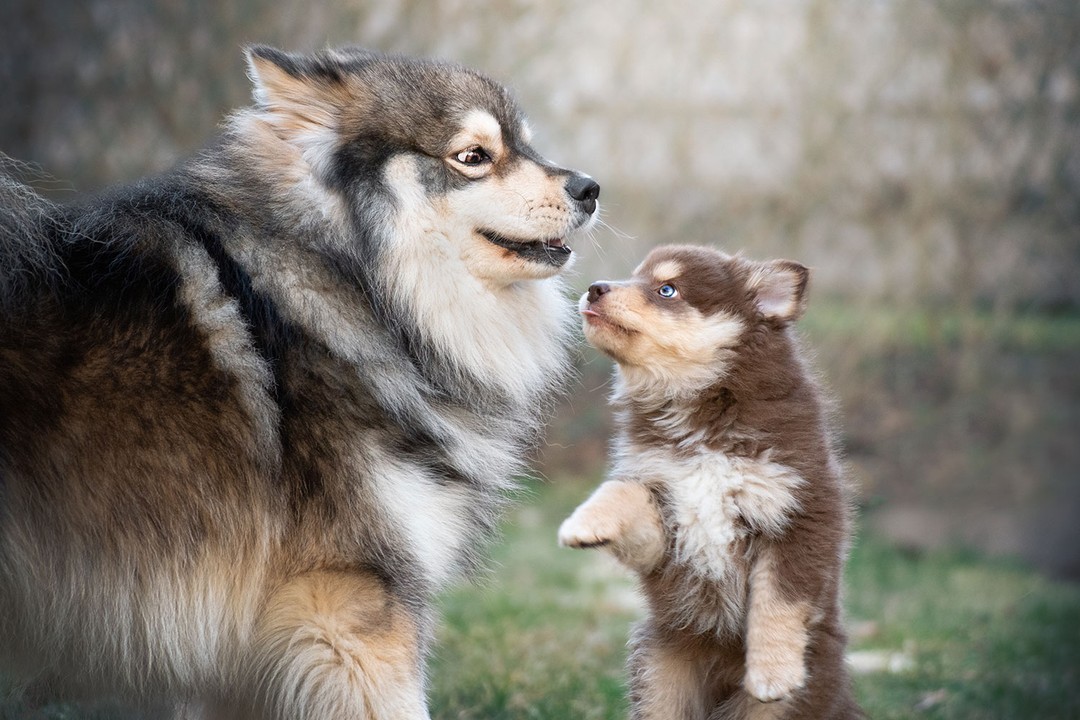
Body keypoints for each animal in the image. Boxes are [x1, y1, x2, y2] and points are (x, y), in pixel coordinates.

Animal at [561, 246, 864, 720]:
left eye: (667, 289)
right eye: (636, 276)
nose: (595, 288)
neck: (701, 425)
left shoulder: (802, 513)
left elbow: (778, 599)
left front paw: (772, 672)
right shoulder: (665, 513)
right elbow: (623, 490)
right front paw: (585, 521)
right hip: (659, 675)